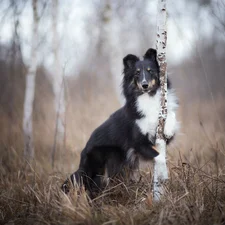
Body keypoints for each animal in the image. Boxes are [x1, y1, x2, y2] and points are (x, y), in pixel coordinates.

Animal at [62, 48, 179, 196]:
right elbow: (158, 156)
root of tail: (82, 157)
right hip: (109, 157)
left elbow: (171, 115)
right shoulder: (138, 143)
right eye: (137, 73)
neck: (148, 97)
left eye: (150, 71)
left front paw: (168, 129)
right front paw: (163, 172)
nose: (145, 85)